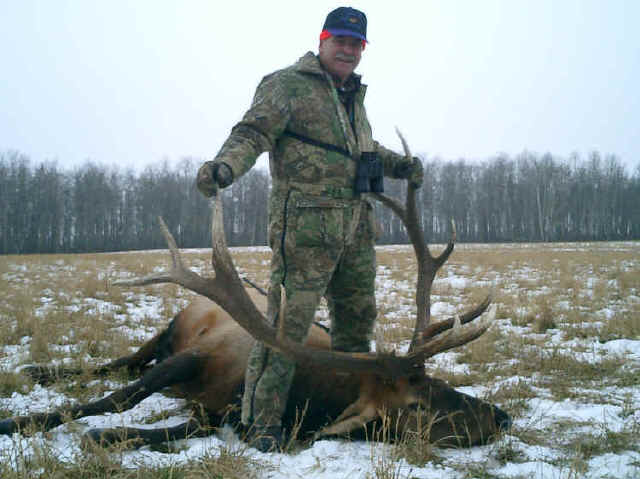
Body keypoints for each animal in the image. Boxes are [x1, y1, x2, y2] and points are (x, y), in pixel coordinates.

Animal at [0, 132, 511, 450]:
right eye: (418, 404)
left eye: (442, 381)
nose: (502, 417)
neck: (306, 396)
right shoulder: (196, 356)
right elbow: (113, 400)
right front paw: (18, 423)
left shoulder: (219, 416)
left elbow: (165, 432)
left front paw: (102, 437)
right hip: (170, 329)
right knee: (121, 363)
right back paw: (39, 370)